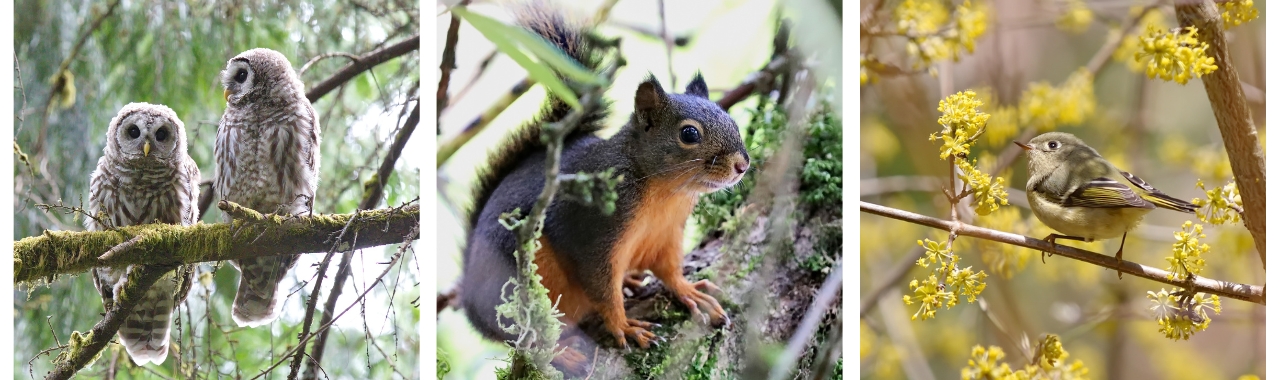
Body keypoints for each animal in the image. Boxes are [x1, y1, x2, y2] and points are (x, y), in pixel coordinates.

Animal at [458, 2, 747, 371]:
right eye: (689, 133)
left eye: (732, 120)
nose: (742, 165)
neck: (664, 191)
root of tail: (468, 300)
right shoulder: (594, 234)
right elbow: (601, 286)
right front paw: (625, 326)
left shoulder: (667, 235)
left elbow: (669, 269)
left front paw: (689, 290)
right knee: (521, 335)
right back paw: (561, 352)